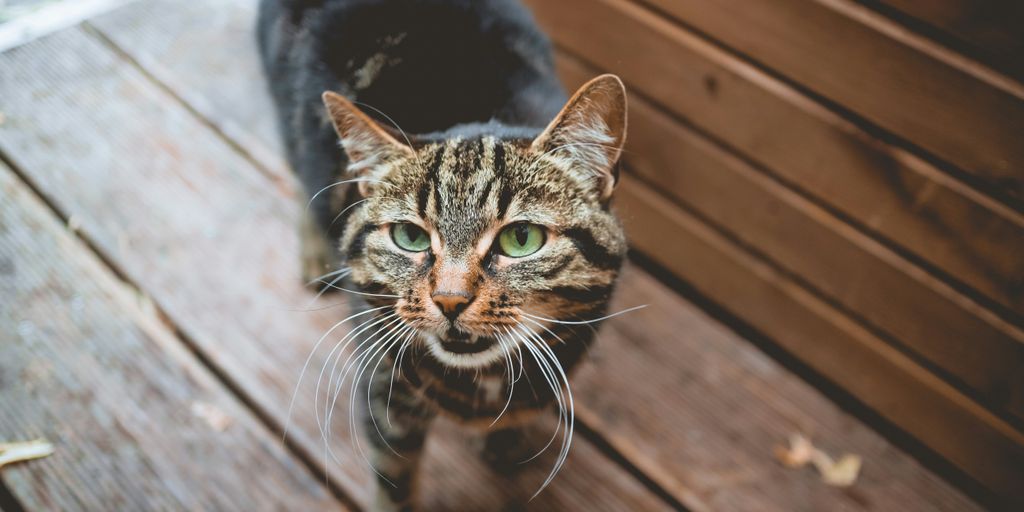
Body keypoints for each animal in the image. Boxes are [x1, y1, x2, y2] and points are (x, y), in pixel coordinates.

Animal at [253, 1, 630, 507]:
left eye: (521, 238)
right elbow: (393, 479)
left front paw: (508, 441)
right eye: (409, 237)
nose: (450, 300)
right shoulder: (384, 390)